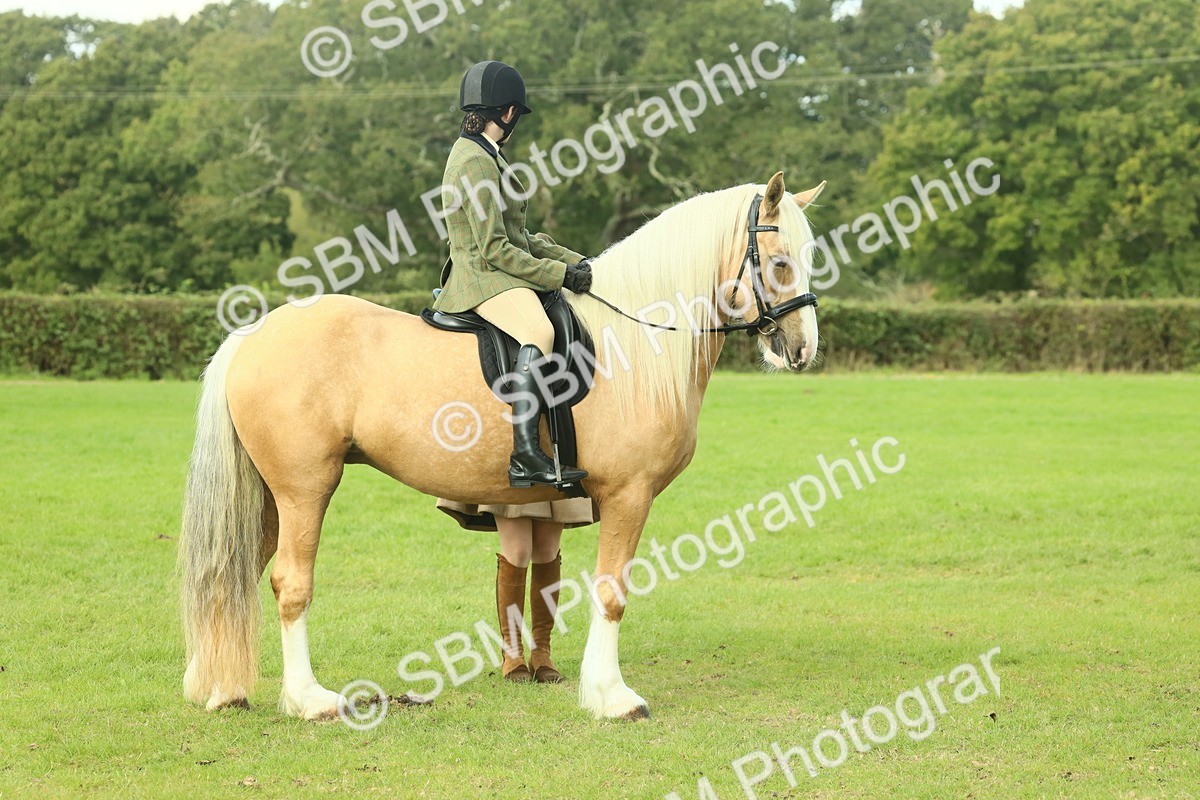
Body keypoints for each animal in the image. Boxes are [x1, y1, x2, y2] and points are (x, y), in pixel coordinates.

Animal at [179, 171, 825, 721]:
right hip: (304, 489)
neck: (634, 339)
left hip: (268, 496)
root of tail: (254, 333)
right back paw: (309, 700)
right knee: (290, 582)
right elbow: (612, 591)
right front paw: (612, 697)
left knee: (235, 576)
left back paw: (225, 690)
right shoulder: (629, 494)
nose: (801, 350)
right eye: (780, 262)